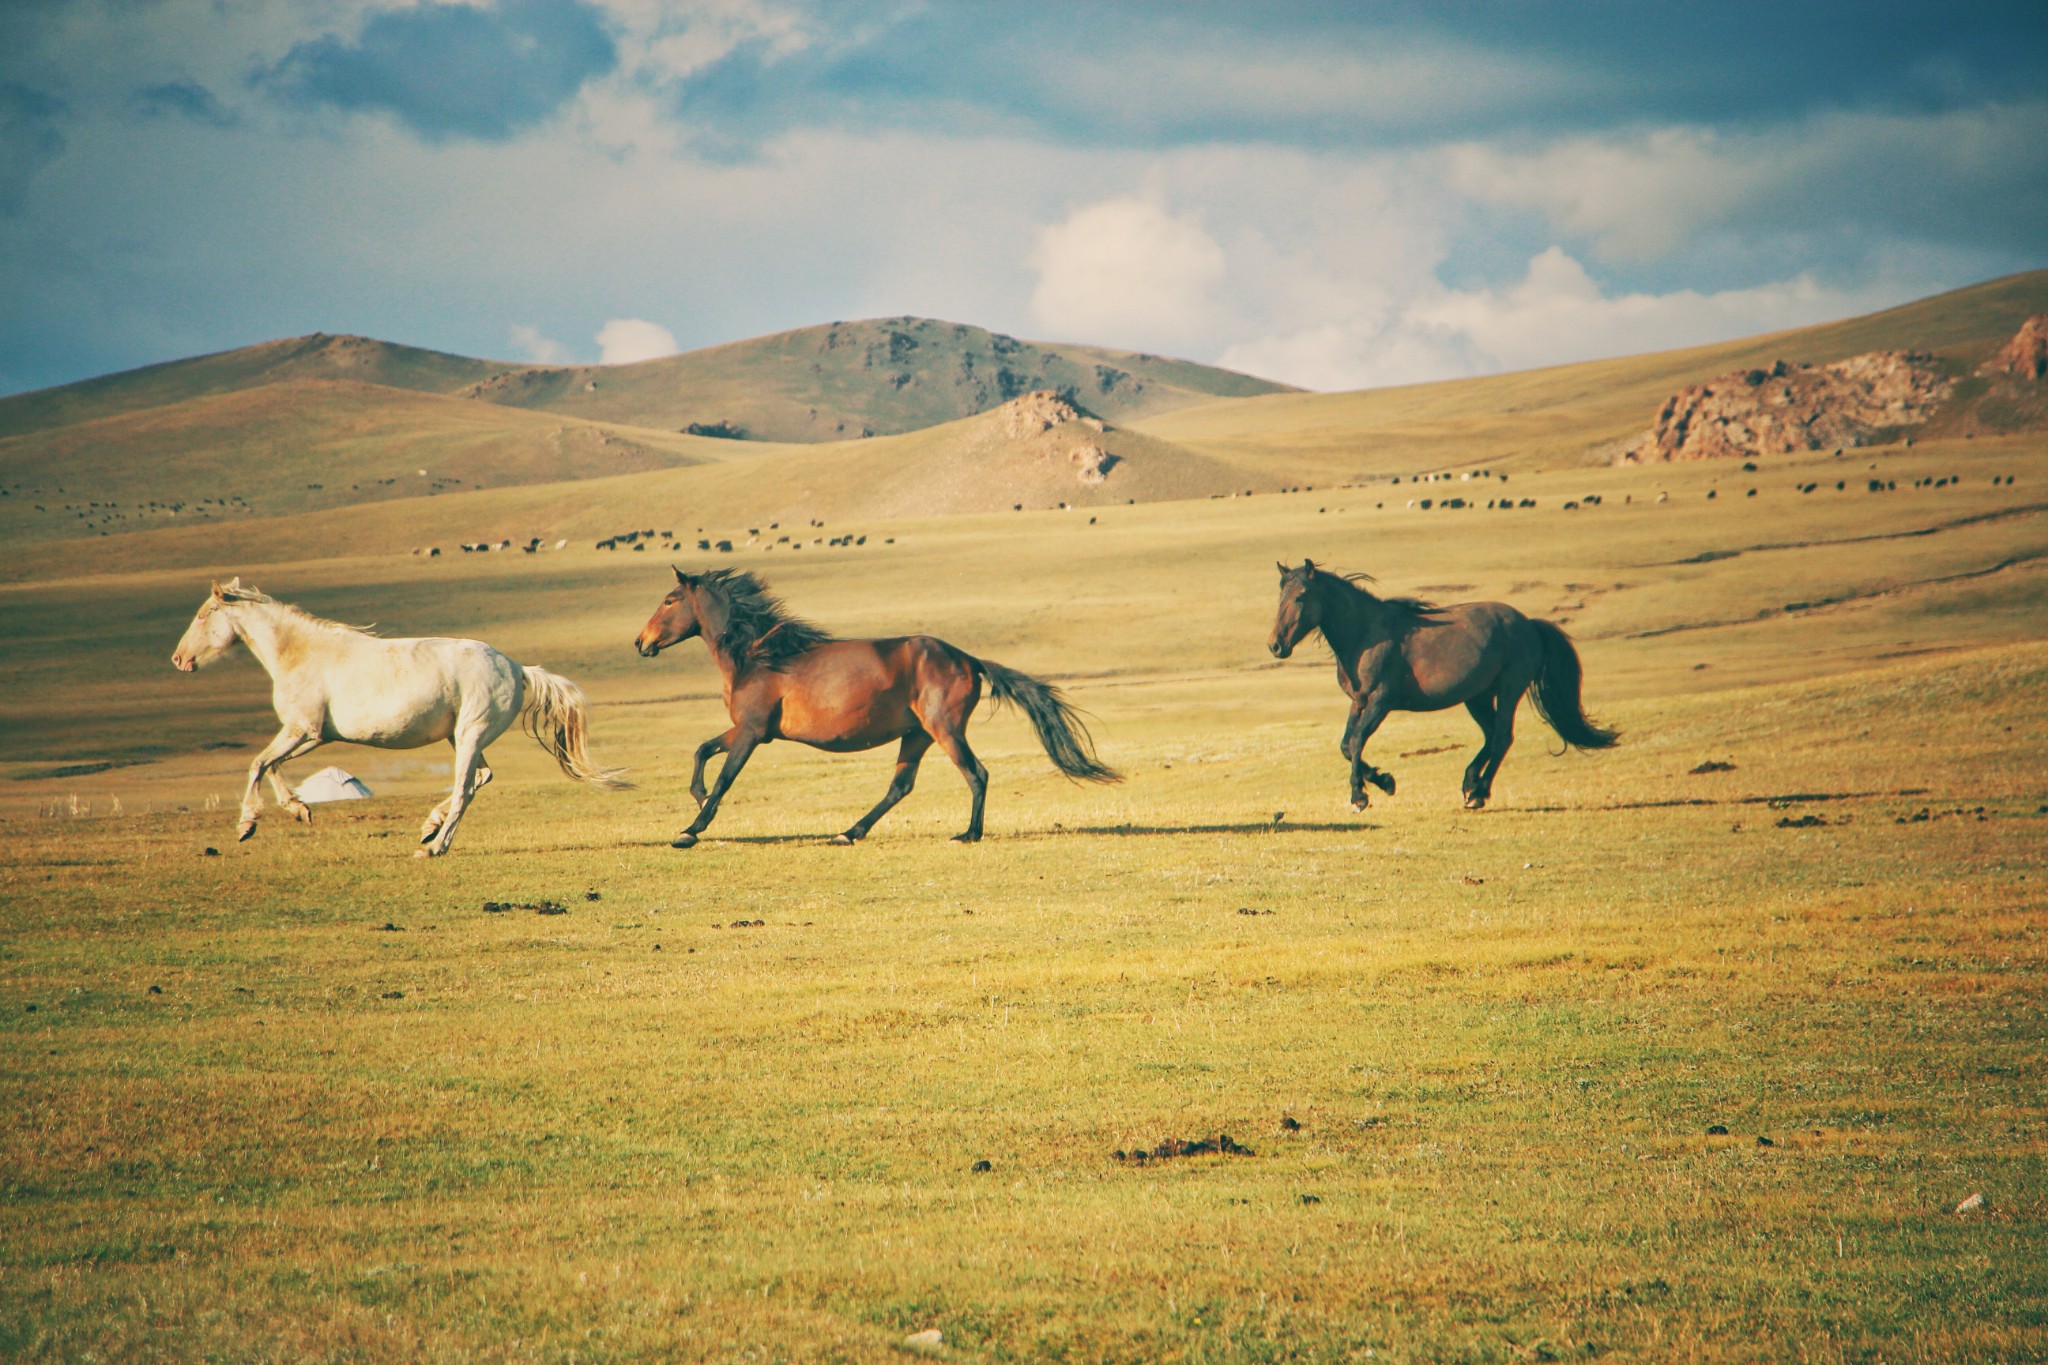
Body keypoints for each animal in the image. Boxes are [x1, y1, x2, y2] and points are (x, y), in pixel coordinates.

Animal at [172, 577, 626, 855]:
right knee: (479, 778)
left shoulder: (305, 731)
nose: (179, 659)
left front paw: (248, 825)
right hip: (461, 737)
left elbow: (259, 763)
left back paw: (434, 846)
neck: (301, 654)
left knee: (465, 789)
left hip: (471, 734)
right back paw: (429, 827)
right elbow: (272, 766)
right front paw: (298, 809)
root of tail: (516, 667)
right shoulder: (310, 735)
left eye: (202, 616)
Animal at [634, 564, 1122, 843]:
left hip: (944, 729)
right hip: (917, 735)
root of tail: (968, 659)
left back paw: (968, 834)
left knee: (976, 773)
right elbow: (702, 751)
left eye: (669, 600)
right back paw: (849, 832)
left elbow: (726, 777)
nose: (641, 642)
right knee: (900, 786)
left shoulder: (753, 733)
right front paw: (697, 800)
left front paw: (691, 830)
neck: (757, 655)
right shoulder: (752, 730)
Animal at [1261, 556, 1613, 810]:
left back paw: (1479, 793)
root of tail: (1529, 624)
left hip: (1508, 690)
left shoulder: (1380, 702)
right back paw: (1470, 784)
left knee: (1501, 737)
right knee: (1490, 736)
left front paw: (1360, 796)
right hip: (1477, 696)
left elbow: (1358, 741)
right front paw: (1383, 781)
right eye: (1279, 597)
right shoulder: (1359, 701)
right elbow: (1347, 745)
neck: (1366, 635)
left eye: (1301, 597)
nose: (1276, 645)